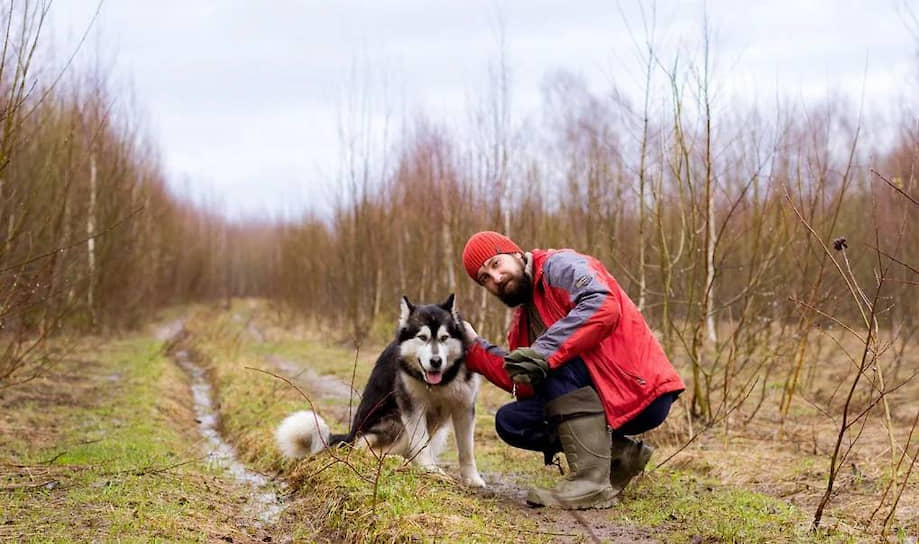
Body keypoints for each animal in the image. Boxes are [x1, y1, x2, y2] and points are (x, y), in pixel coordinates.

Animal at [274, 296, 486, 486]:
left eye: (444, 338)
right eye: (422, 337)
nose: (436, 361)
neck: (440, 382)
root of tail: (351, 434)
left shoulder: (464, 407)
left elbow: (467, 449)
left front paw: (472, 478)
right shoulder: (412, 407)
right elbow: (420, 441)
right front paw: (429, 469)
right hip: (395, 421)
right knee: (364, 449)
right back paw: (396, 460)